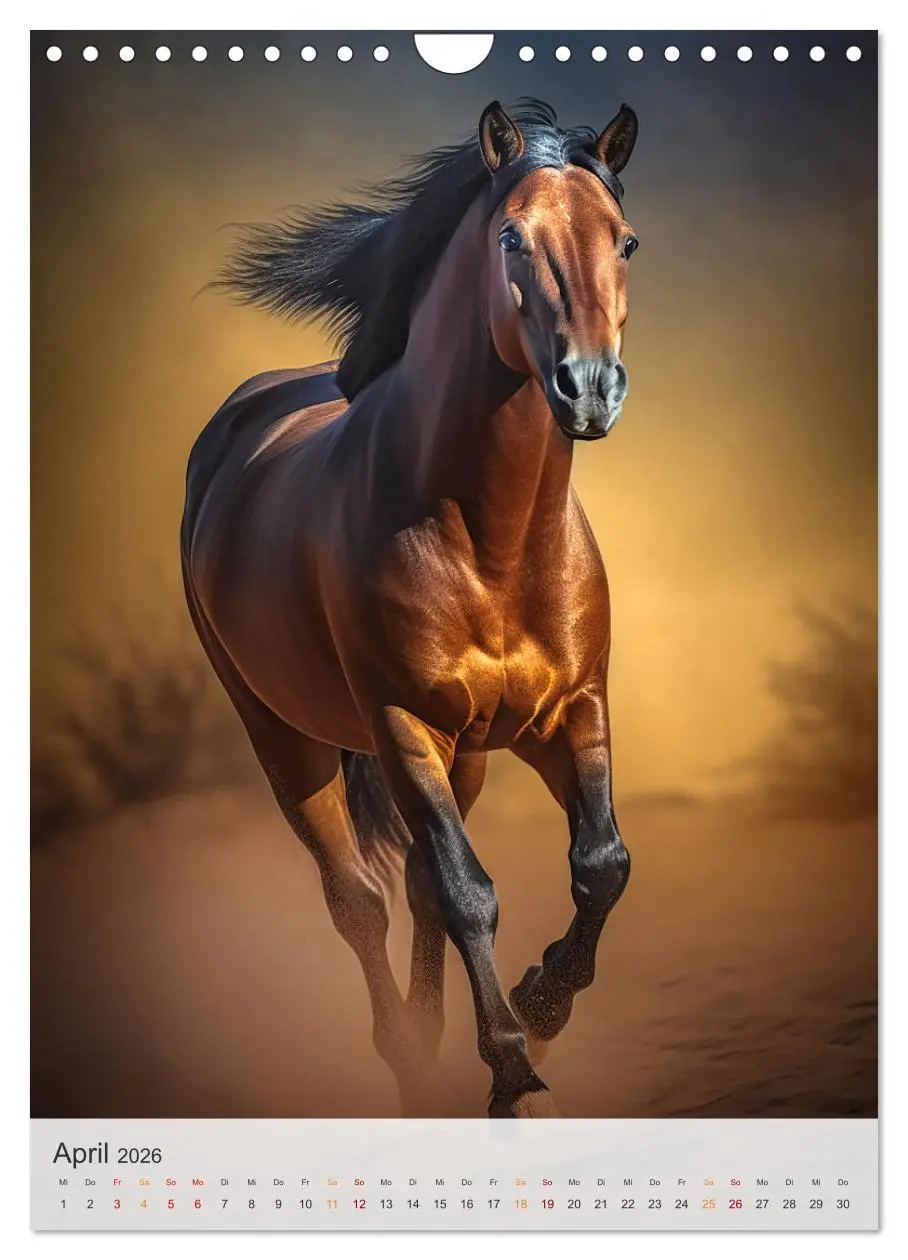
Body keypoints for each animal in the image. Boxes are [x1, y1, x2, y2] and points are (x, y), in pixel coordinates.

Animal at [182, 99, 640, 1119]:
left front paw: (542, 1002)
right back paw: (408, 1058)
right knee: (359, 896)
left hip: (465, 752)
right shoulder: (400, 724)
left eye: (626, 240)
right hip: (286, 737)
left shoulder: (571, 711)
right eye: (512, 237)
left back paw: (434, 1042)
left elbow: (601, 865)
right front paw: (514, 1073)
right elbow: (469, 892)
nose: (590, 389)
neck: (495, 542)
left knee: (421, 888)